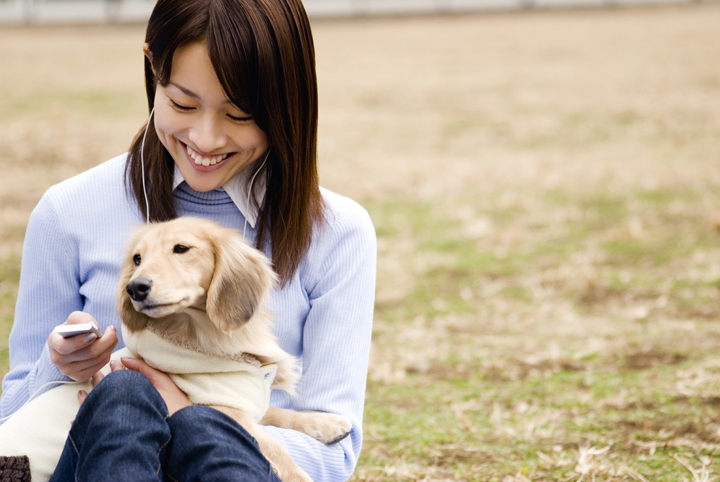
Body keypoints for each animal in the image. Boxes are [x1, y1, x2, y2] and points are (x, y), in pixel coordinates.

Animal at [116, 217, 350, 482]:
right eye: (137, 259)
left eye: (181, 248)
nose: (135, 288)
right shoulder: (223, 407)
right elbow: (273, 444)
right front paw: (298, 476)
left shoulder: (246, 401)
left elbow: (280, 413)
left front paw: (325, 422)